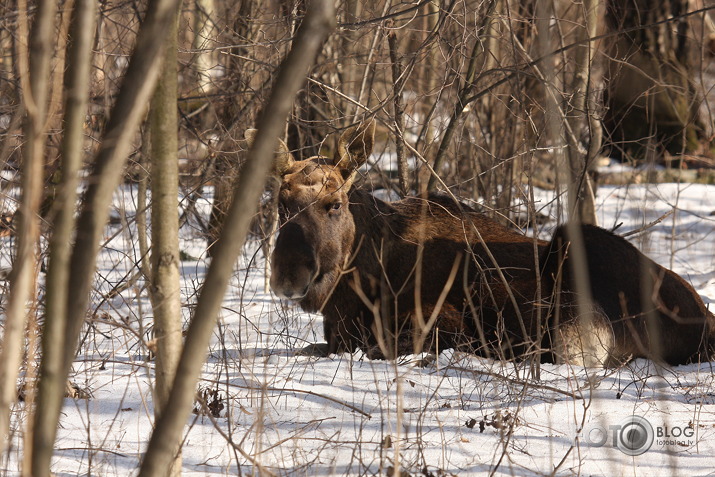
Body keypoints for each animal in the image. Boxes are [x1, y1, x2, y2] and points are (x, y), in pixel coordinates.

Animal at [252, 121, 715, 366]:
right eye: (281, 203)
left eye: (333, 204)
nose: (289, 276)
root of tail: (706, 322)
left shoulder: (442, 320)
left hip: (577, 267)